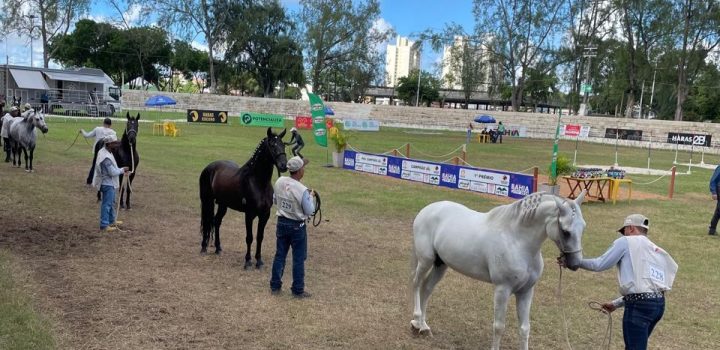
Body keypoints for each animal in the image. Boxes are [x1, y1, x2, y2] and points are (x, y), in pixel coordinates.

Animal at [198, 128, 288, 268]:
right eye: (272, 145)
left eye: (283, 145)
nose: (284, 165)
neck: (258, 182)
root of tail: (209, 167)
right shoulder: (249, 214)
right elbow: (249, 237)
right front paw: (248, 261)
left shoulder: (265, 214)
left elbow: (260, 236)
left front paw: (259, 261)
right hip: (207, 201)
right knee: (207, 221)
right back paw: (203, 247)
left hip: (223, 204)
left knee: (216, 221)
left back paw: (218, 248)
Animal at [410, 191, 584, 350]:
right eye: (566, 231)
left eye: (583, 227)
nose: (575, 263)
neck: (516, 240)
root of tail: (427, 209)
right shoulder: (502, 289)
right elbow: (499, 327)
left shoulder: (526, 291)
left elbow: (525, 328)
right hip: (425, 261)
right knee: (417, 284)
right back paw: (416, 321)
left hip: (440, 265)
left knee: (427, 288)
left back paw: (423, 326)